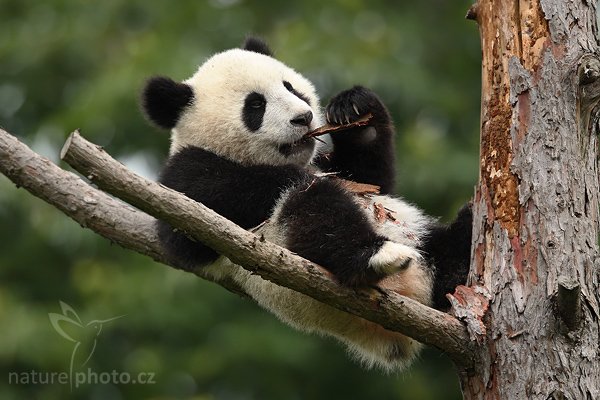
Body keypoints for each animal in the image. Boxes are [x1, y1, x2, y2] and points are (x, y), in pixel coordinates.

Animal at [142, 37, 474, 372]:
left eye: (290, 87)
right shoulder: (185, 175)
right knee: (316, 211)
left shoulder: (335, 165)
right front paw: (290, 176)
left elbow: (372, 178)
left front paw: (354, 108)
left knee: (444, 247)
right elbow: (188, 227)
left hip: (420, 237)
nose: (303, 118)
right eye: (256, 105)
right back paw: (373, 255)